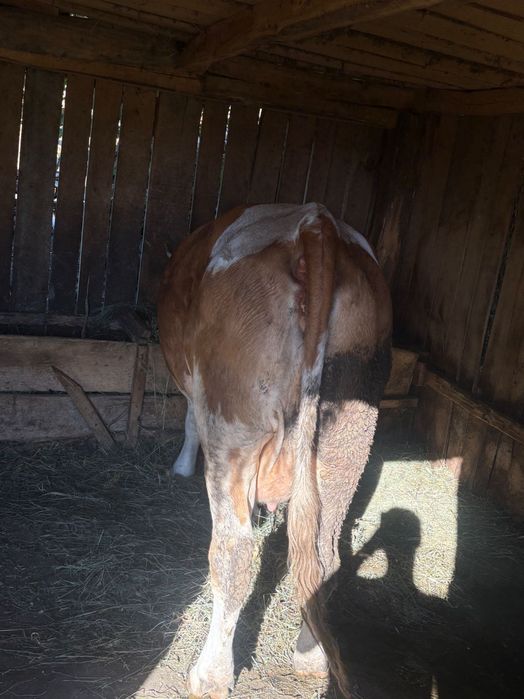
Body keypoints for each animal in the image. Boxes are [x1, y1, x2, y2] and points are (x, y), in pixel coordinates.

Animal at [158, 203, 392, 698]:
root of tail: (316, 224)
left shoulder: (197, 392)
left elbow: (187, 419)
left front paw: (181, 467)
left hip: (232, 421)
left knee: (233, 554)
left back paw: (210, 675)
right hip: (349, 431)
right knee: (323, 555)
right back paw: (311, 658)